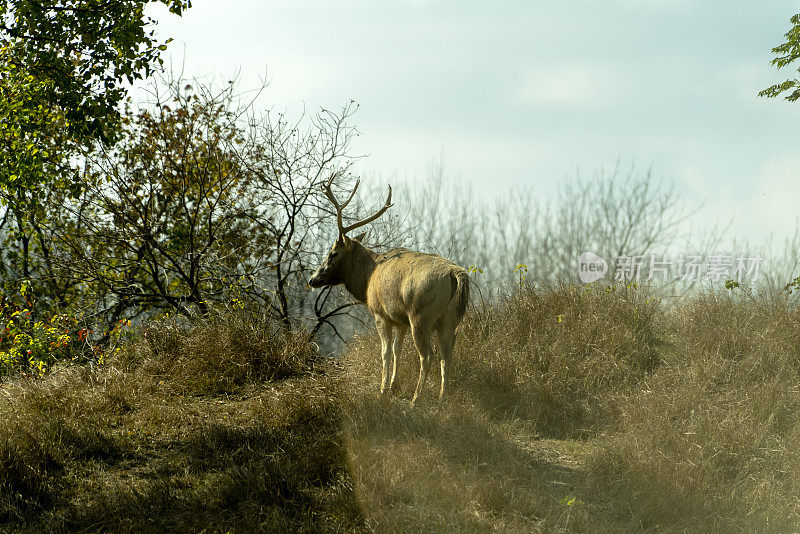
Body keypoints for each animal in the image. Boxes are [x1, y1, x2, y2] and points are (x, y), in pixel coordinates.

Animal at [308, 176, 468, 406]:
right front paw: (394, 386)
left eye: (333, 253)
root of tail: (456, 274)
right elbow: (397, 350)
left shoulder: (380, 313)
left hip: (421, 315)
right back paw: (441, 398)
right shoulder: (400, 320)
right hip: (451, 319)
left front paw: (383, 390)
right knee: (447, 356)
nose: (313, 279)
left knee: (427, 355)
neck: (368, 279)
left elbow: (385, 352)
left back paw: (416, 399)